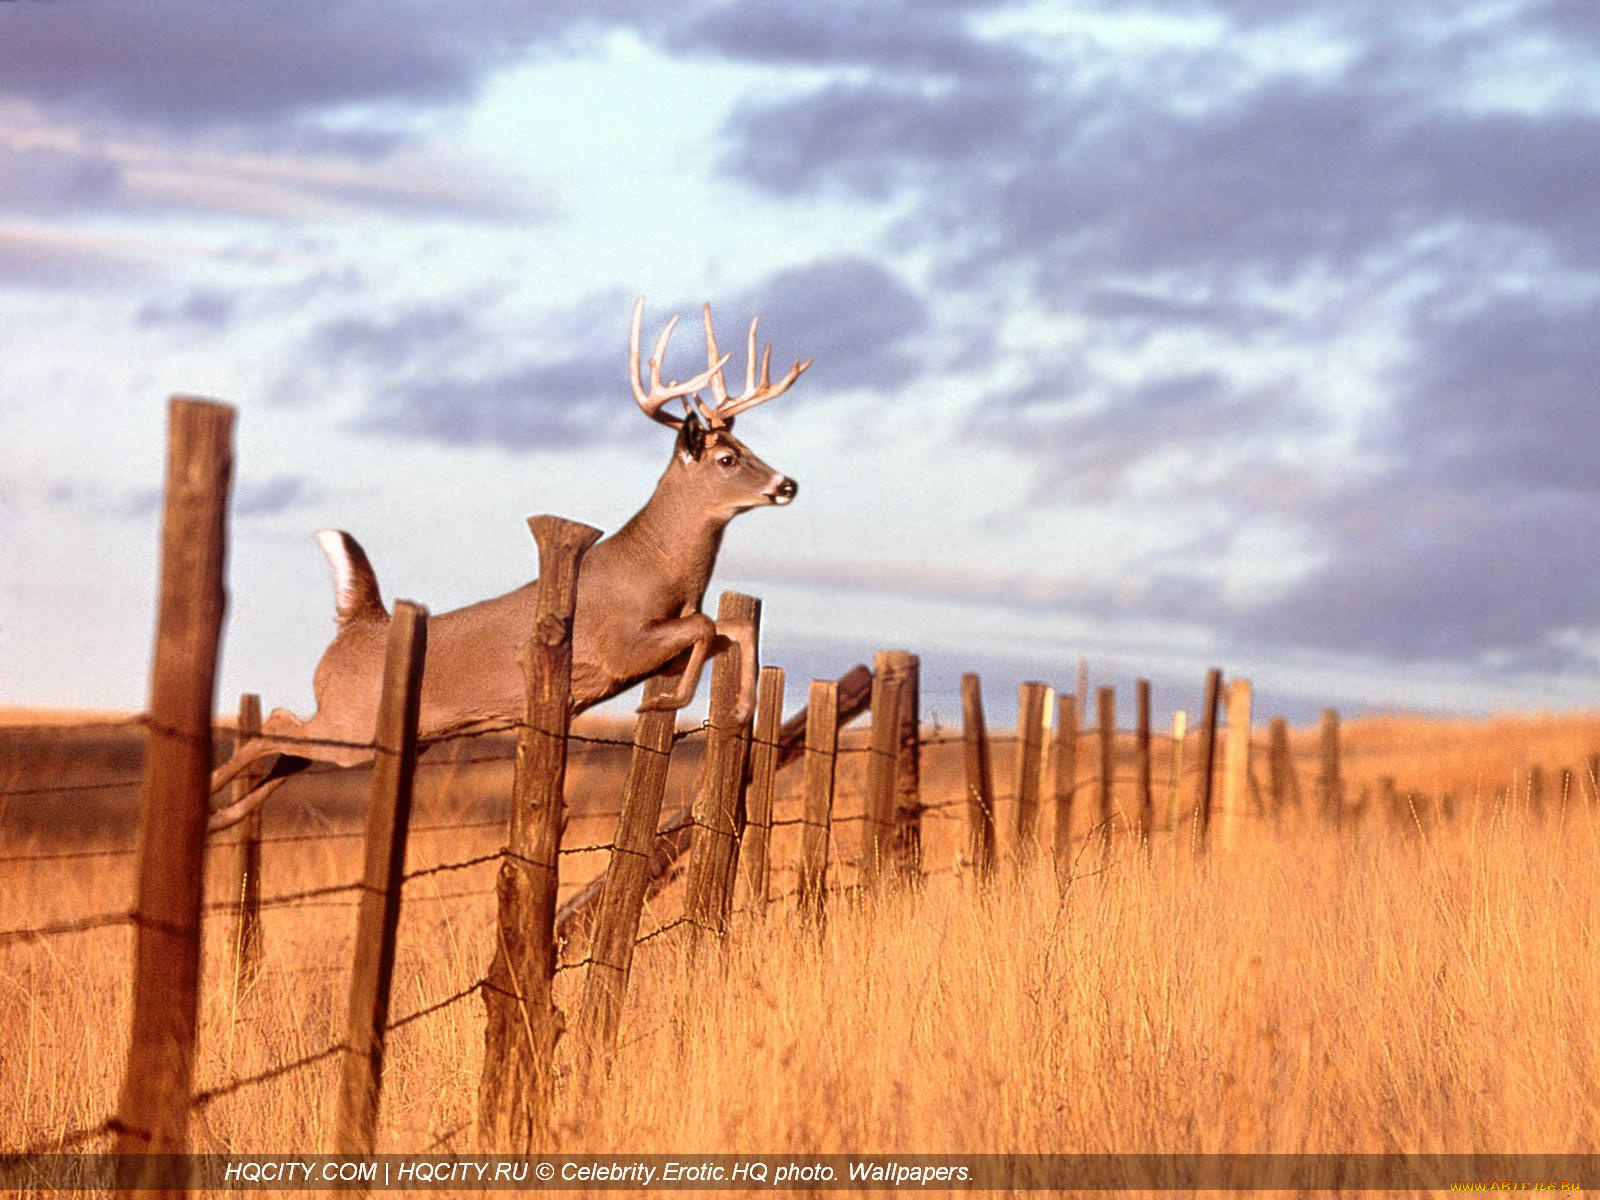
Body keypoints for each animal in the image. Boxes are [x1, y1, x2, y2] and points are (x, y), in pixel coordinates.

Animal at [209, 296, 812, 832]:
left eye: (747, 447)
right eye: (727, 458)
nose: (787, 484)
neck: (658, 571)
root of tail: (360, 625)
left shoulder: (659, 642)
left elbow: (729, 626)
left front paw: (739, 710)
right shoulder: (619, 647)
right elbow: (707, 625)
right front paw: (671, 704)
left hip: (368, 733)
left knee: (290, 750)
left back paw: (221, 816)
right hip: (354, 719)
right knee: (277, 723)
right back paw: (206, 798)